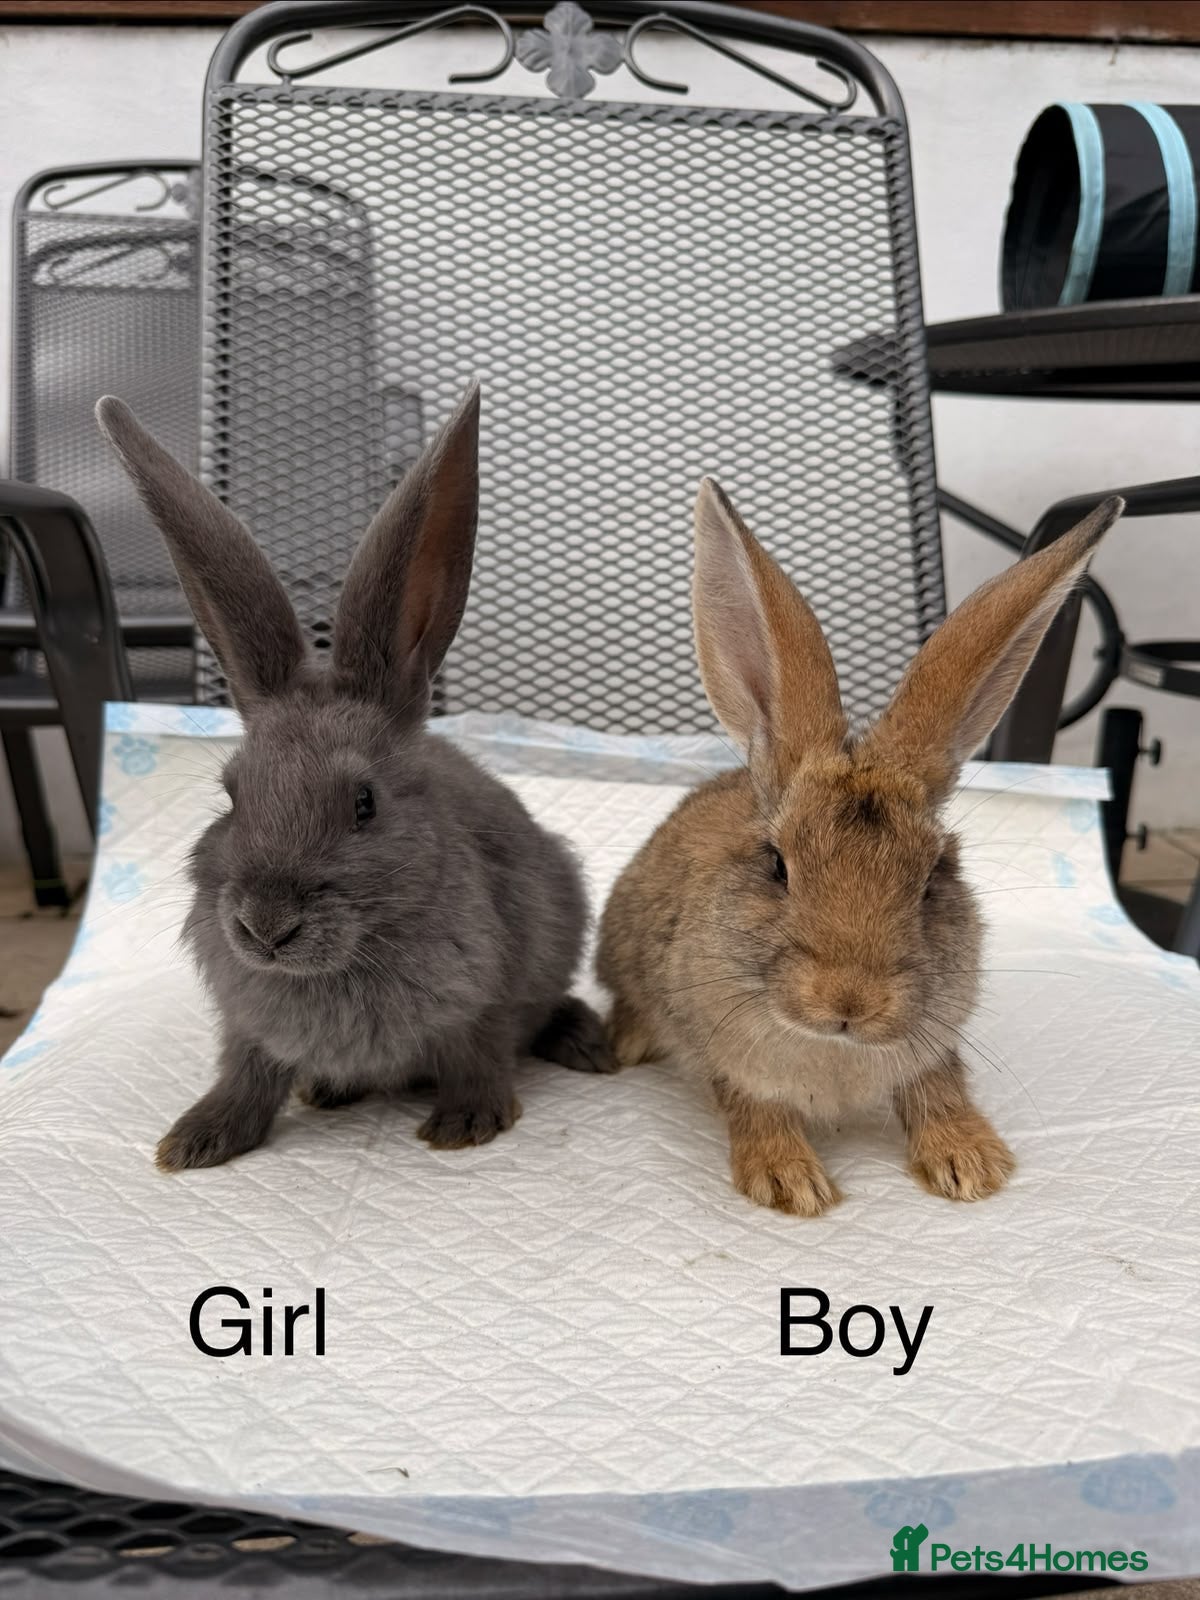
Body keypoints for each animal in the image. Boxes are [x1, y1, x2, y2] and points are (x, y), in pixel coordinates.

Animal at [95, 384, 613, 1173]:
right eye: (231, 796)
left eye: (364, 804)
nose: (265, 926)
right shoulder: (248, 1031)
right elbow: (244, 1077)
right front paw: (195, 1141)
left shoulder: (483, 1004)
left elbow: (480, 1055)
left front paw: (467, 1123)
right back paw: (328, 1091)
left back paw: (588, 1043)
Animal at [597, 476, 1125, 1217]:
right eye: (777, 866)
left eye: (933, 879)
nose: (850, 1001)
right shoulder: (731, 1063)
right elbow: (756, 1110)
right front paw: (791, 1184)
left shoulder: (933, 1047)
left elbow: (939, 1091)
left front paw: (973, 1165)